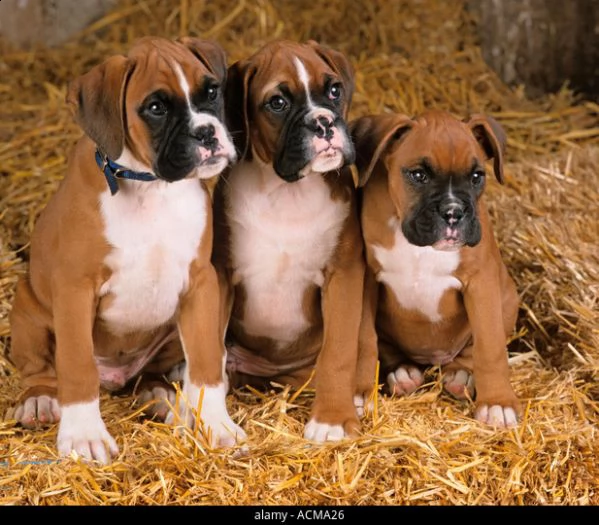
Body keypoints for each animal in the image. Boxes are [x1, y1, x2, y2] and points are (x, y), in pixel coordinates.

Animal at [7, 37, 246, 462]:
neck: (151, 184)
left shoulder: (201, 284)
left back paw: (164, 398)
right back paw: (39, 401)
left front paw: (216, 425)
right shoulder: (75, 289)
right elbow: (76, 366)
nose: (207, 133)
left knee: (153, 375)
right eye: (155, 108)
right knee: (40, 371)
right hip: (28, 309)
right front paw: (84, 436)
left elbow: (206, 360)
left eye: (211, 92)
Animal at [216, 40, 366, 438]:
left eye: (334, 90)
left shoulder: (343, 276)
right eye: (278, 103)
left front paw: (332, 418)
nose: (323, 122)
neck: (288, 193)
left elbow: (338, 353)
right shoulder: (221, 276)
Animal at [352, 109, 520, 426]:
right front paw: (358, 391)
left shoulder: (482, 284)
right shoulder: (366, 279)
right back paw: (402, 373)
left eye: (477, 177)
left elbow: (490, 346)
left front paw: (498, 403)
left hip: (507, 298)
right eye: (419, 175)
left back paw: (460, 375)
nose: (454, 212)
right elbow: (363, 339)